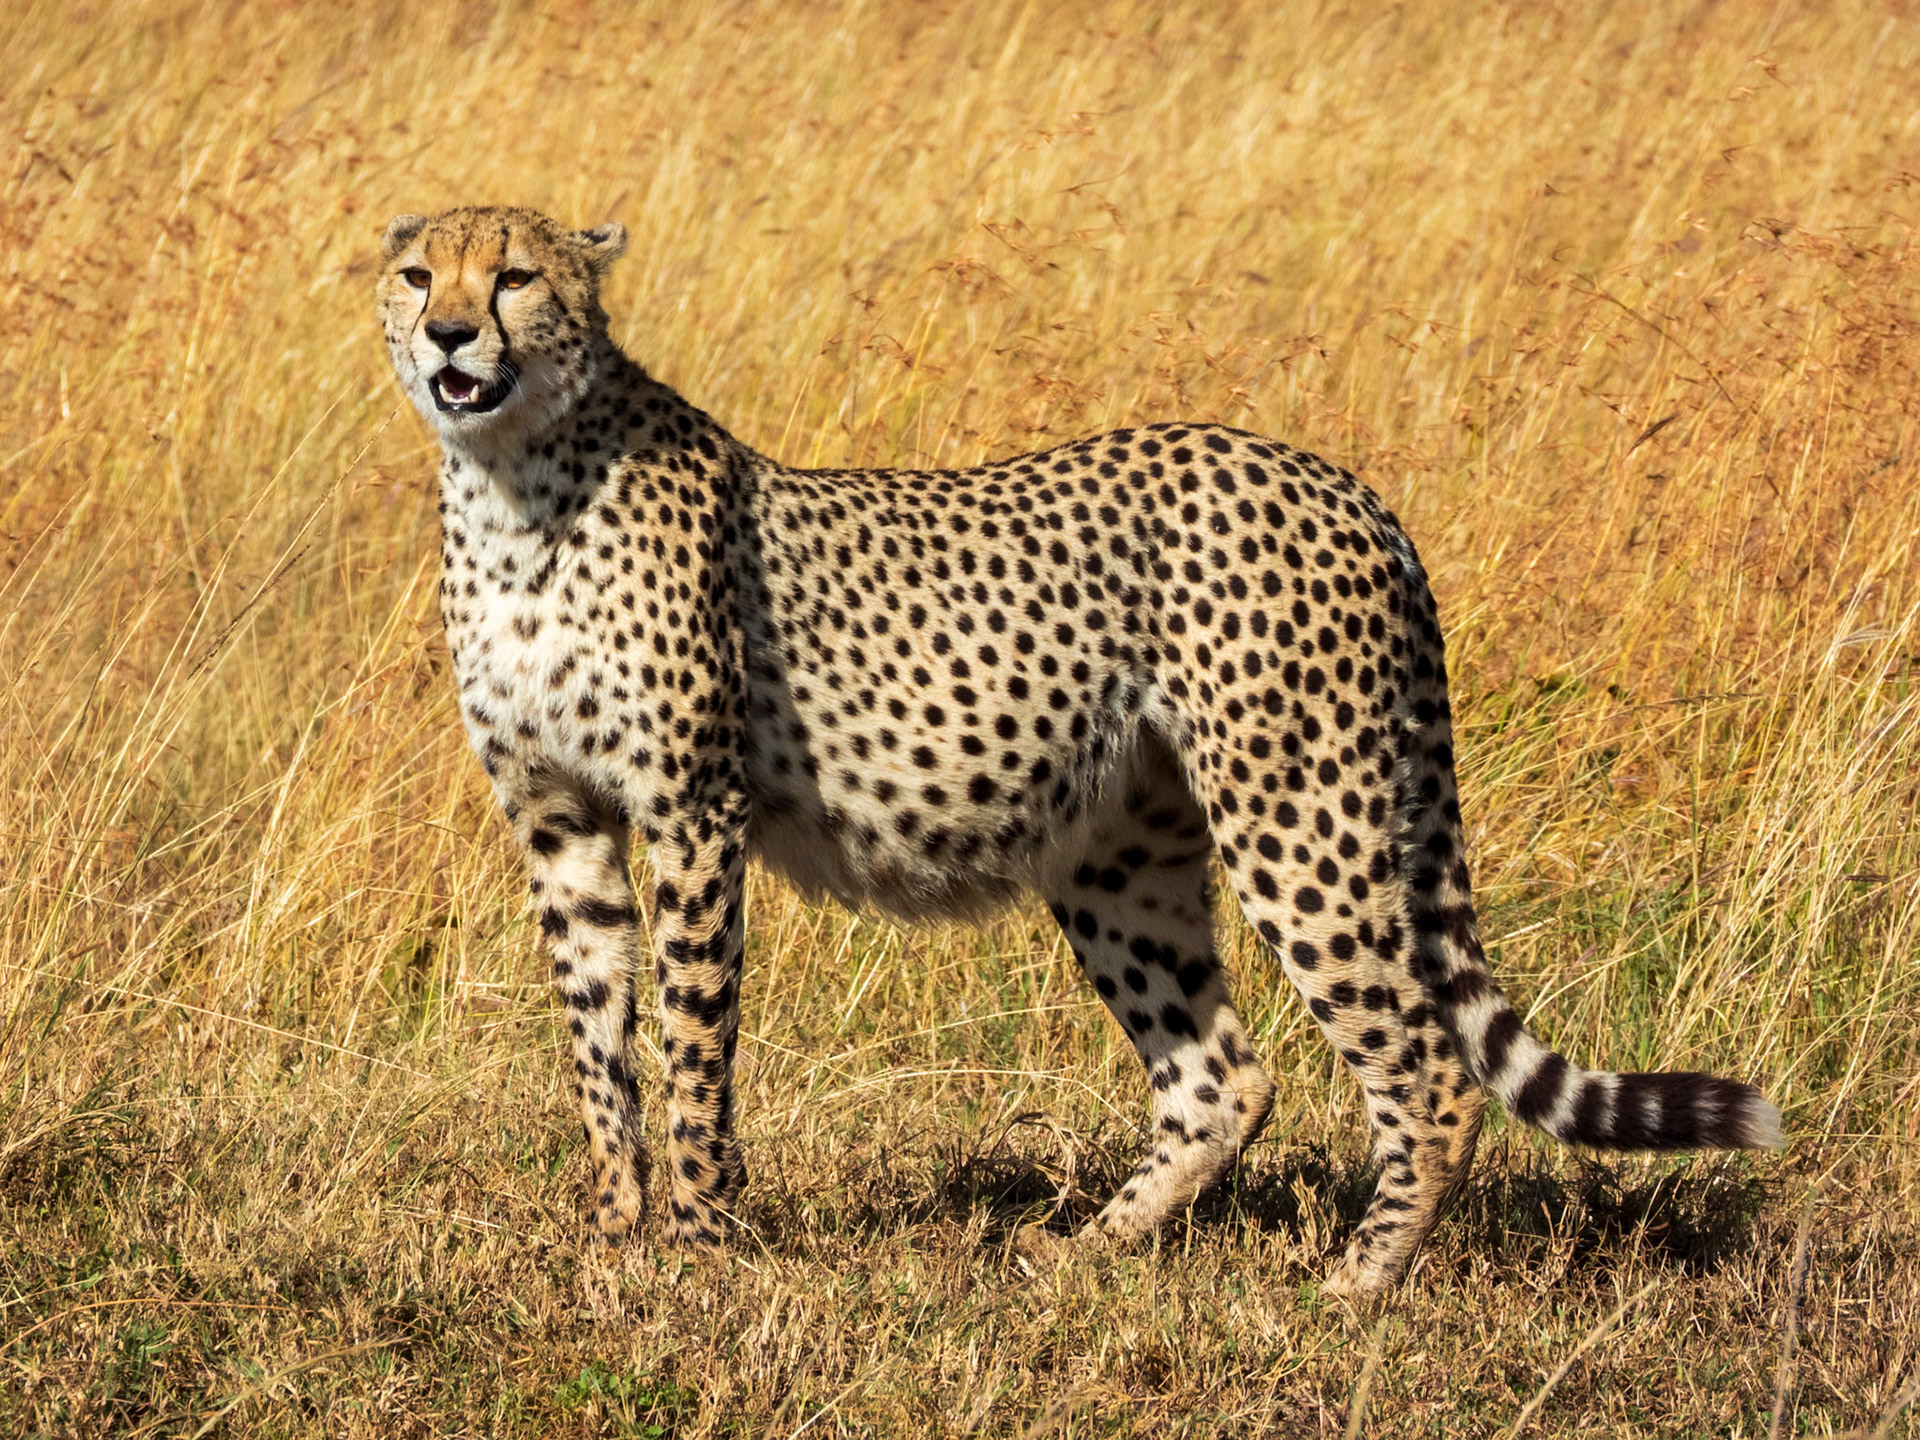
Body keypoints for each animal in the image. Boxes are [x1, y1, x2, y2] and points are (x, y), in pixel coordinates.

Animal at [375, 204, 1782, 1298]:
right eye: (418, 274)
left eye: (515, 276)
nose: (450, 335)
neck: (515, 487)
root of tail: (1342, 482)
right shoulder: (561, 825)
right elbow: (597, 1041)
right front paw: (620, 1238)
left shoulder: (692, 813)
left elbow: (692, 1036)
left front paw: (710, 1240)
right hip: (1121, 855)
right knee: (1224, 1078)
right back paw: (1082, 1252)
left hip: (1296, 816)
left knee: (1429, 1070)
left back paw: (1358, 1284)